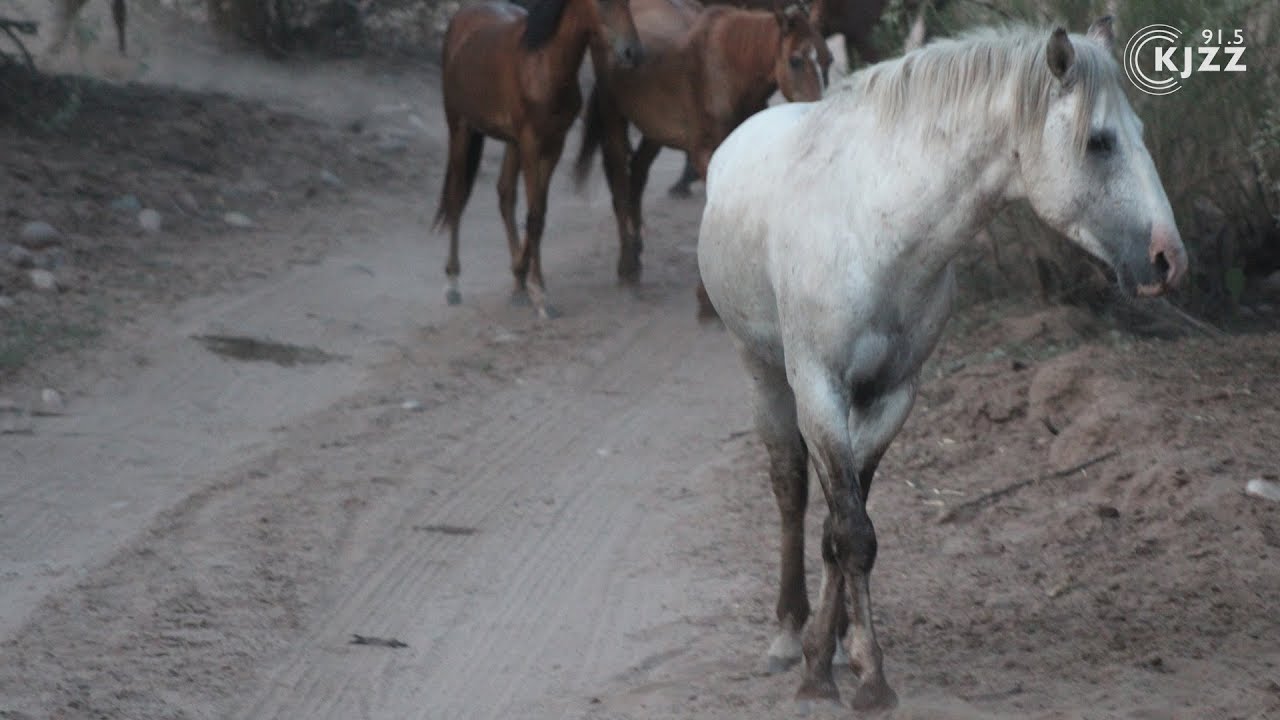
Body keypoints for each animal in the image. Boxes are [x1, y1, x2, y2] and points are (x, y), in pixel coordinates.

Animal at [433, 0, 642, 318]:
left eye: (628, 3)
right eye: (602, 3)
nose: (633, 52)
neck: (543, 62)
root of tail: (460, 19)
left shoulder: (553, 144)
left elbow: (538, 214)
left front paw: (525, 281)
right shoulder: (532, 143)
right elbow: (533, 217)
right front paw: (541, 294)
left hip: (510, 142)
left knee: (505, 195)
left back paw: (517, 285)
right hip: (460, 128)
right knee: (457, 197)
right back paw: (453, 283)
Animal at [572, 0, 830, 283]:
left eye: (828, 60)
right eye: (795, 60)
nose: (818, 114)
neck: (730, 69)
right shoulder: (706, 154)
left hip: (655, 130)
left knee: (637, 174)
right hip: (613, 115)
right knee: (619, 179)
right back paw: (627, 265)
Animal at [697, 19, 1186, 711]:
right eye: (1100, 142)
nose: (1169, 258)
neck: (878, 227)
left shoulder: (892, 395)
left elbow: (849, 531)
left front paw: (843, 656)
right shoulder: (818, 386)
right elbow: (847, 529)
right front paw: (850, 674)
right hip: (762, 371)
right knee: (790, 489)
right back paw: (787, 634)